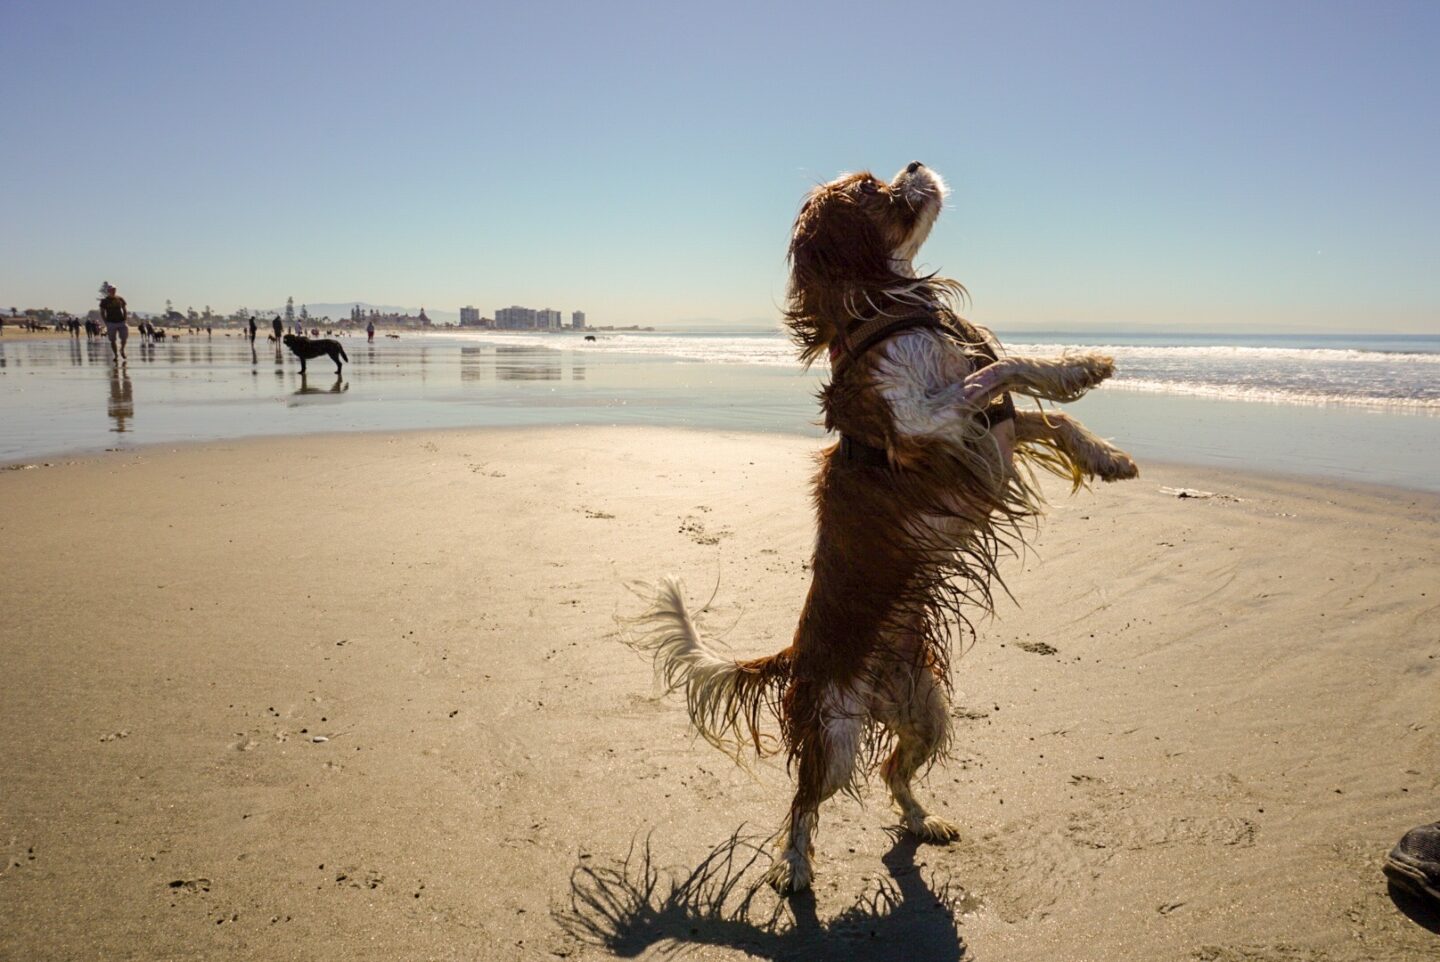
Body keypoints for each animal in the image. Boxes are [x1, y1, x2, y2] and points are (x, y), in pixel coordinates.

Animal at [627, 163, 1134, 892]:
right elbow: (1003, 367)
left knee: (895, 771)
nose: (917, 164)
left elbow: (1045, 411)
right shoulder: (928, 428)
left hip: (926, 711)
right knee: (804, 799)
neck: (893, 317)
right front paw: (1077, 369)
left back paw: (924, 821)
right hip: (837, 734)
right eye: (871, 187)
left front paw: (1103, 449)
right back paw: (794, 867)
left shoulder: (992, 432)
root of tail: (798, 655)